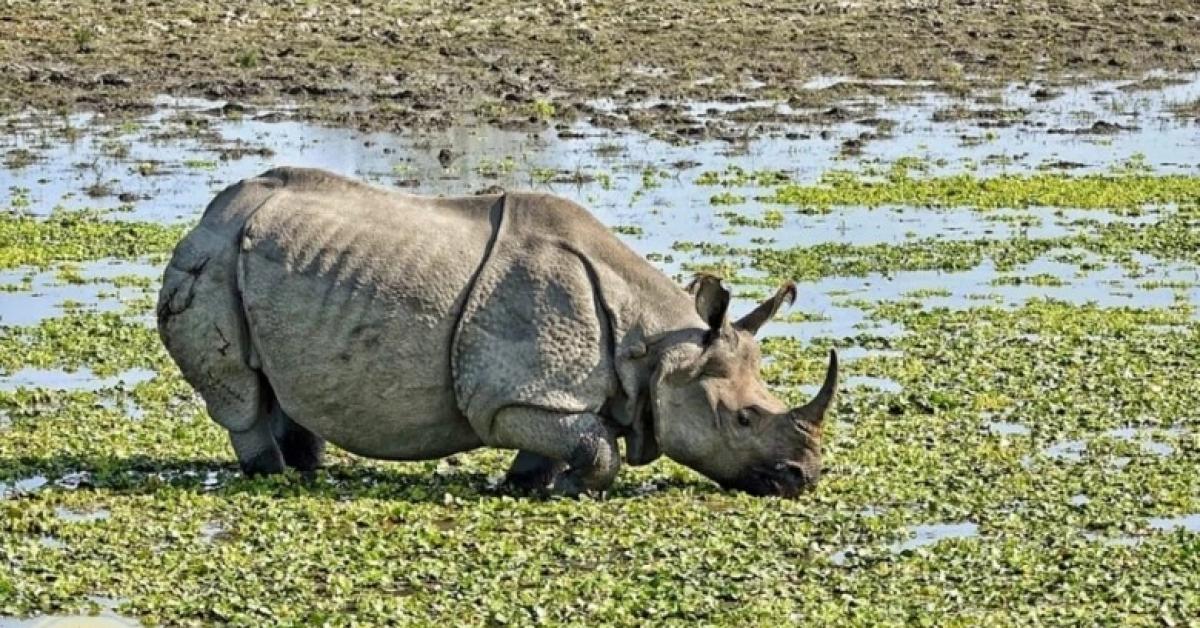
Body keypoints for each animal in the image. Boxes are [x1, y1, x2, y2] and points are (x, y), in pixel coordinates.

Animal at [157, 167, 837, 497]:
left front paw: (526, 485)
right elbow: (599, 449)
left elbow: (571, 440)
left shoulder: (547, 393)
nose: (803, 479)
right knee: (240, 391)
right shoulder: (511, 396)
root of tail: (206, 216)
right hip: (210, 262)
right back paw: (270, 476)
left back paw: (306, 470)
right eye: (743, 419)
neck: (656, 349)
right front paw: (571, 490)